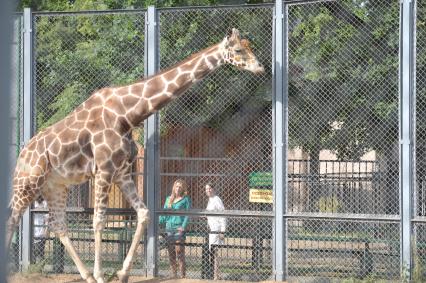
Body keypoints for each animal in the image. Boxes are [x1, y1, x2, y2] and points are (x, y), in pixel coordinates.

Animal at [6, 28, 264, 283]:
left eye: (250, 46)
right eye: (238, 50)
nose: (260, 67)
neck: (127, 115)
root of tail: (22, 154)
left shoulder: (122, 172)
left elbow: (144, 214)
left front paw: (121, 273)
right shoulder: (104, 170)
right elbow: (98, 220)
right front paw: (101, 275)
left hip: (55, 186)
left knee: (58, 225)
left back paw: (85, 275)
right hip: (27, 184)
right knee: (12, 218)